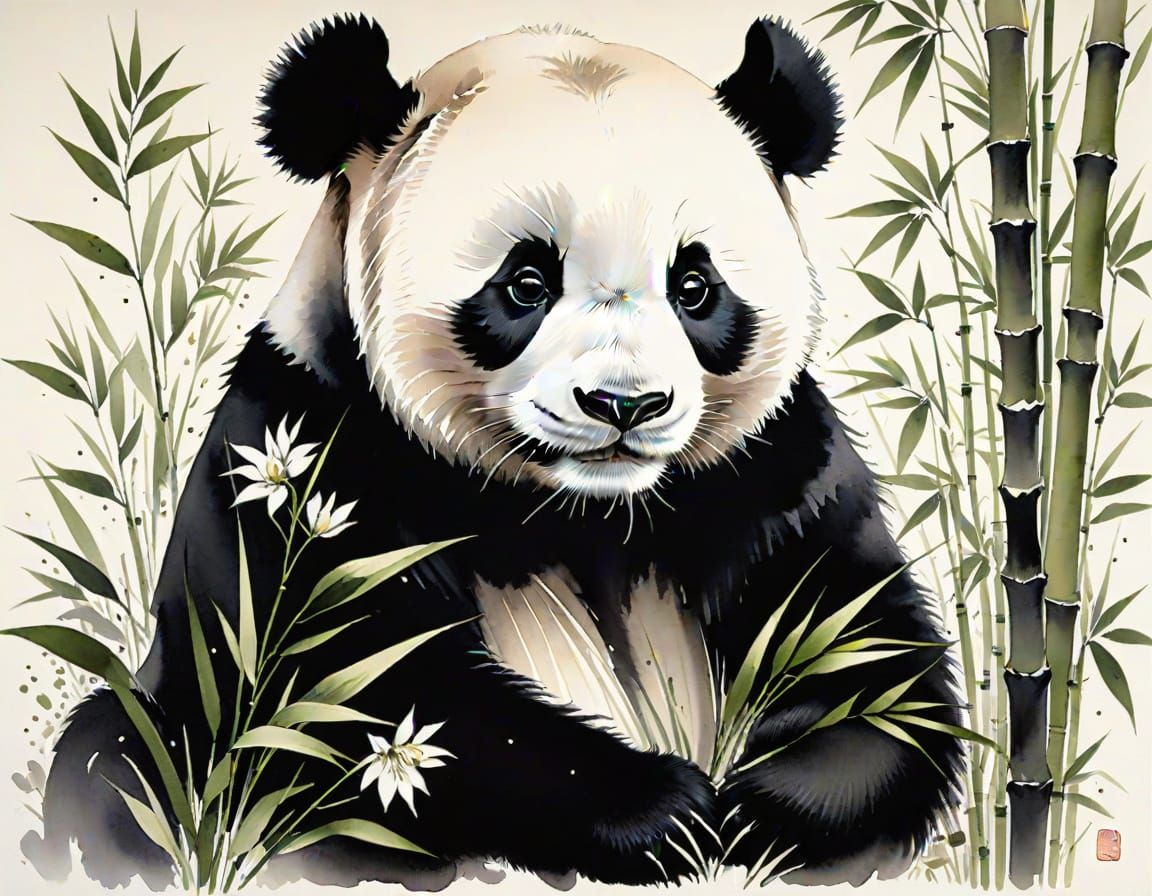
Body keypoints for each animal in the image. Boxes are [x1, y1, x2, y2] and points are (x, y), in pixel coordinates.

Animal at [31, 14, 964, 889]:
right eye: (526, 282)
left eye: (695, 287)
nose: (625, 405)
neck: (580, 505)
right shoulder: (305, 450)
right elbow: (346, 692)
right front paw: (667, 814)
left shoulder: (769, 471)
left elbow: (864, 657)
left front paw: (756, 808)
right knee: (122, 757)